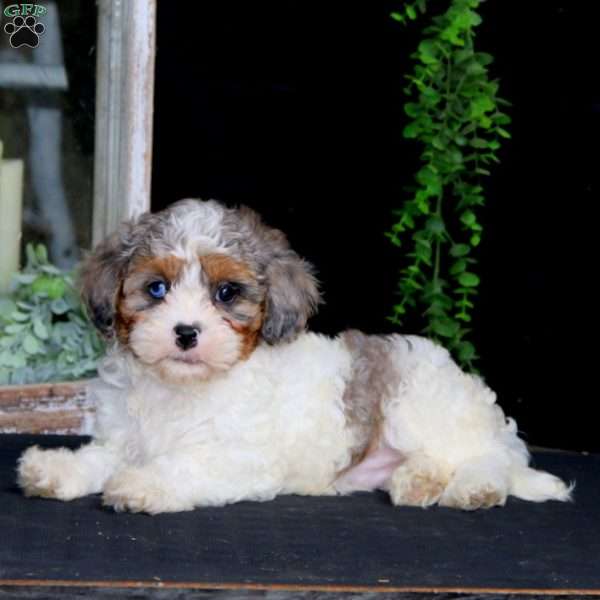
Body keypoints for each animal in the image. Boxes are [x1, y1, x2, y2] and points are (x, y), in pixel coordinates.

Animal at [17, 199, 572, 512]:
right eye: (156, 289)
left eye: (226, 294)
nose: (186, 332)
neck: (179, 388)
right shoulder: (126, 438)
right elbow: (101, 458)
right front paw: (56, 471)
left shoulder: (240, 456)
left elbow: (183, 465)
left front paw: (142, 485)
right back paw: (416, 481)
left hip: (421, 406)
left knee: (487, 459)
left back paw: (471, 488)